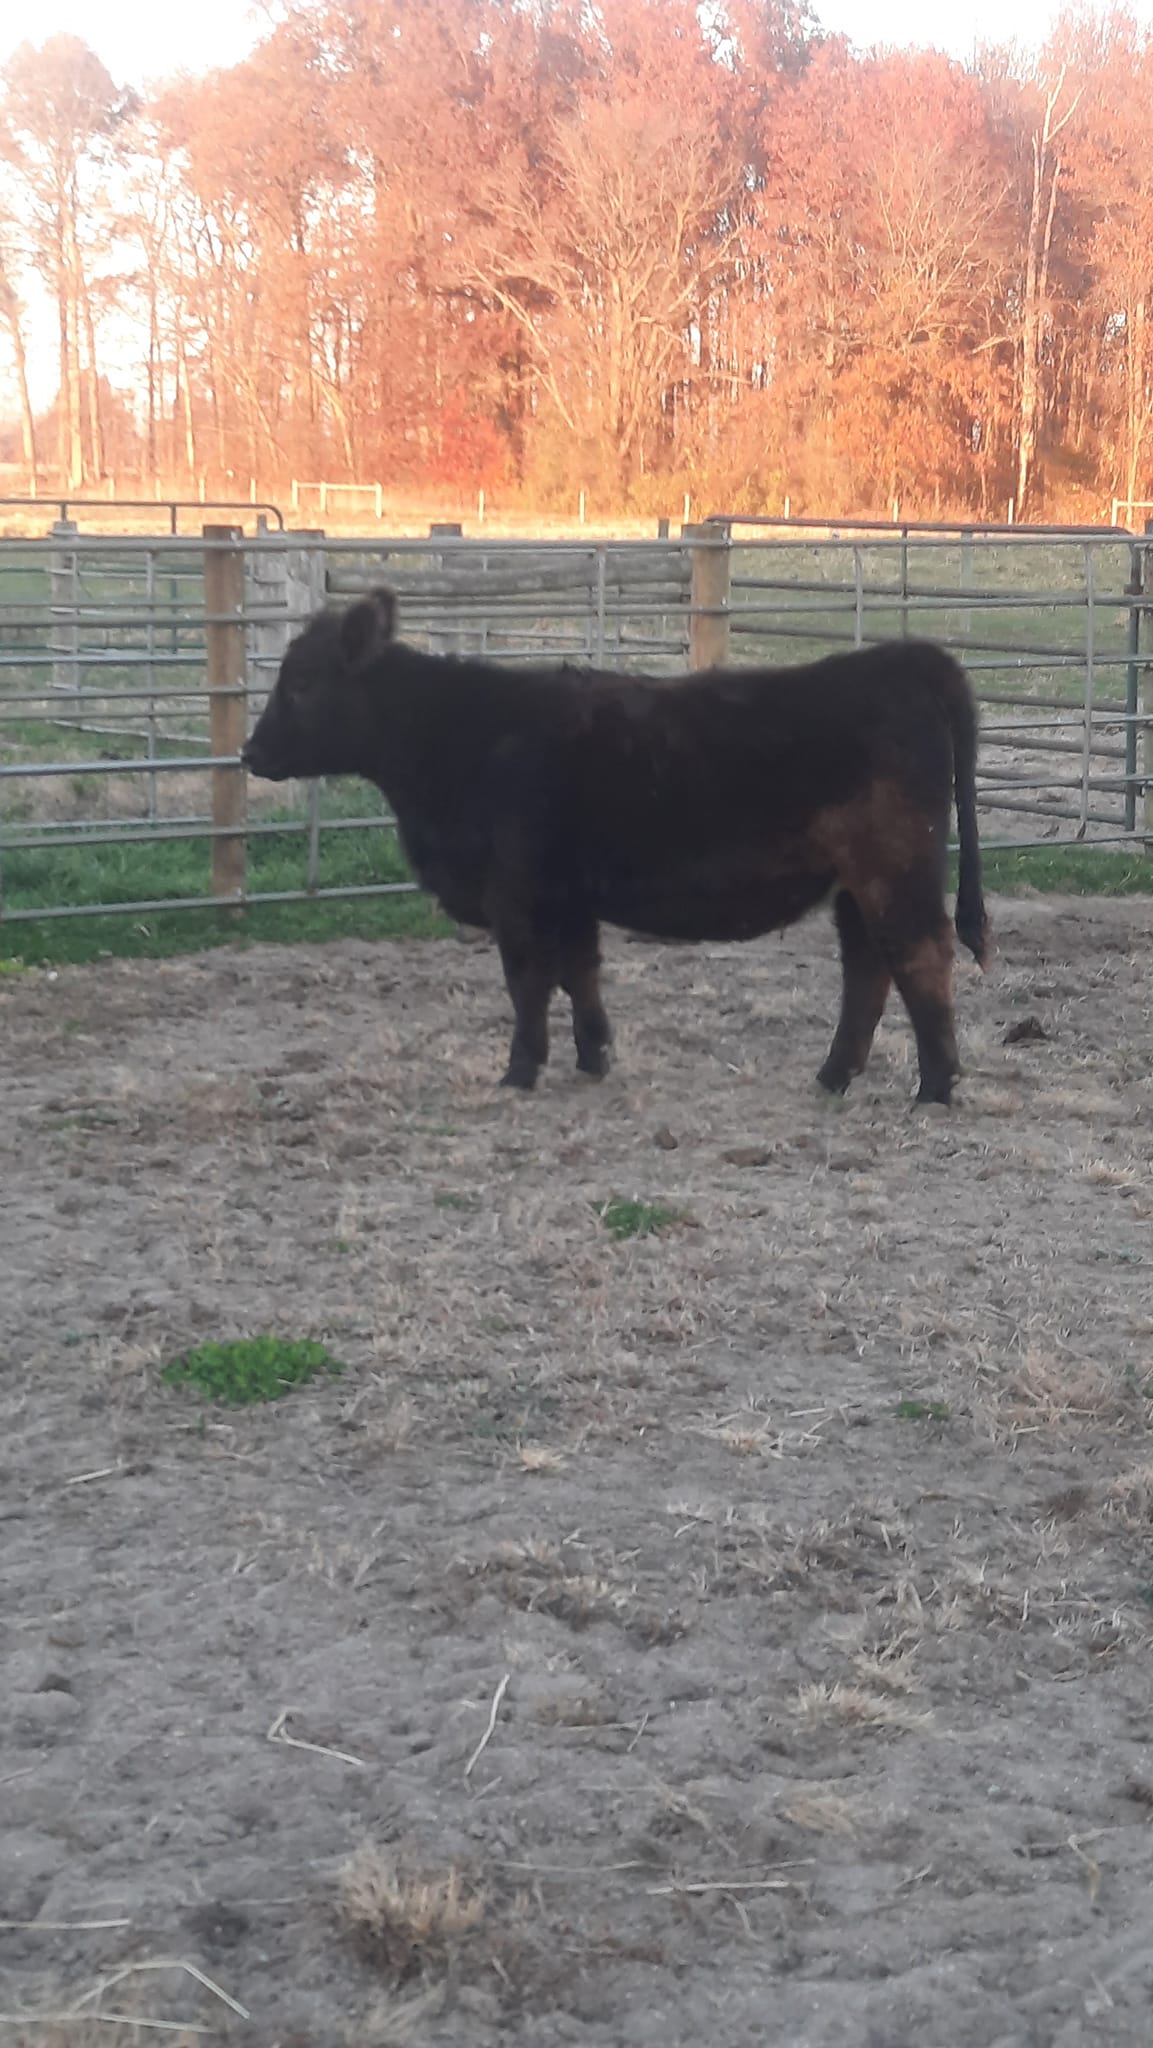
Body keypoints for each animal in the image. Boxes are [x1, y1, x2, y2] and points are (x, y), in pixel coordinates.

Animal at [242, 589, 988, 1104]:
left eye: (301, 683)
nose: (250, 753)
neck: (461, 736)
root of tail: (902, 658)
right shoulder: (569, 896)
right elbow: (581, 974)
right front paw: (592, 1057)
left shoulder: (517, 896)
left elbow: (528, 982)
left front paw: (520, 1071)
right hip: (855, 881)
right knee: (868, 967)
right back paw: (834, 1076)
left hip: (894, 865)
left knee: (918, 953)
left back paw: (936, 1085)